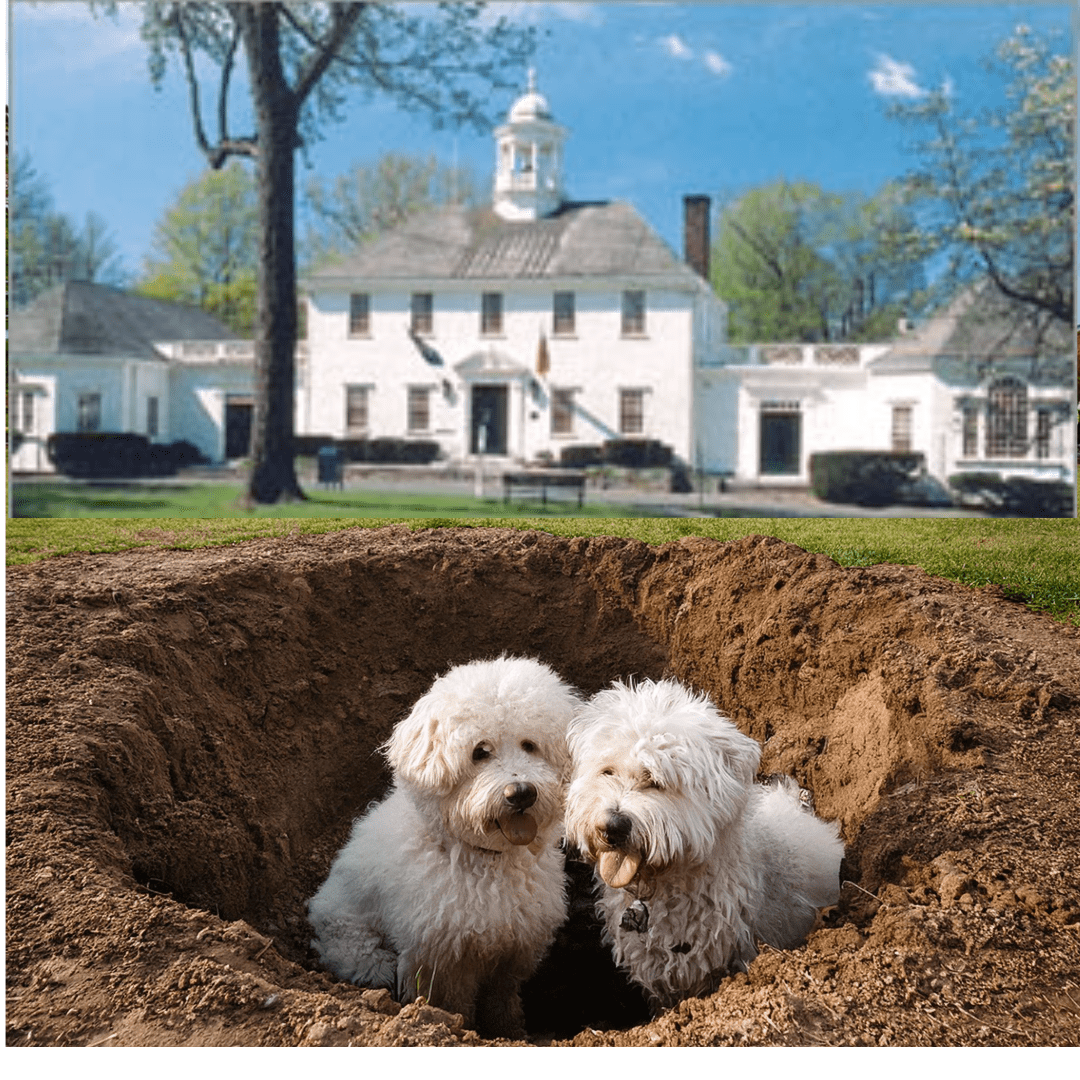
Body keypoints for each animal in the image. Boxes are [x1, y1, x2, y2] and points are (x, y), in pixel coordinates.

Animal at [308, 652, 578, 1041]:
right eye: (480, 752)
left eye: (529, 745)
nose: (521, 793)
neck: (485, 859)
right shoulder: (441, 957)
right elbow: (453, 1004)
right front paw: (461, 1026)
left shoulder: (514, 949)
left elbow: (502, 998)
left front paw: (510, 1030)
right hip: (347, 930)